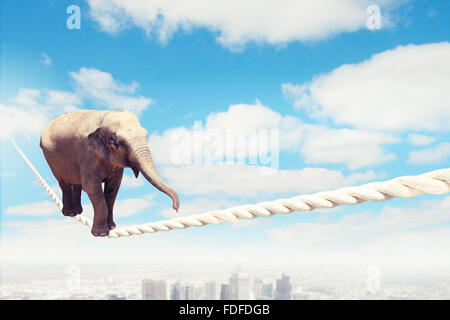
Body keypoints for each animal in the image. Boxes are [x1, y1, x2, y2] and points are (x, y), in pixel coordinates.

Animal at [39, 110, 178, 238]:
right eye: (116, 141)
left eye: (146, 136)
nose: (175, 208)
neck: (104, 116)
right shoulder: (87, 154)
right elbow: (91, 187)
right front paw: (100, 234)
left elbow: (113, 188)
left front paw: (111, 227)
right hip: (51, 159)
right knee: (64, 183)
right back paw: (70, 213)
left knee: (77, 183)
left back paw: (78, 211)